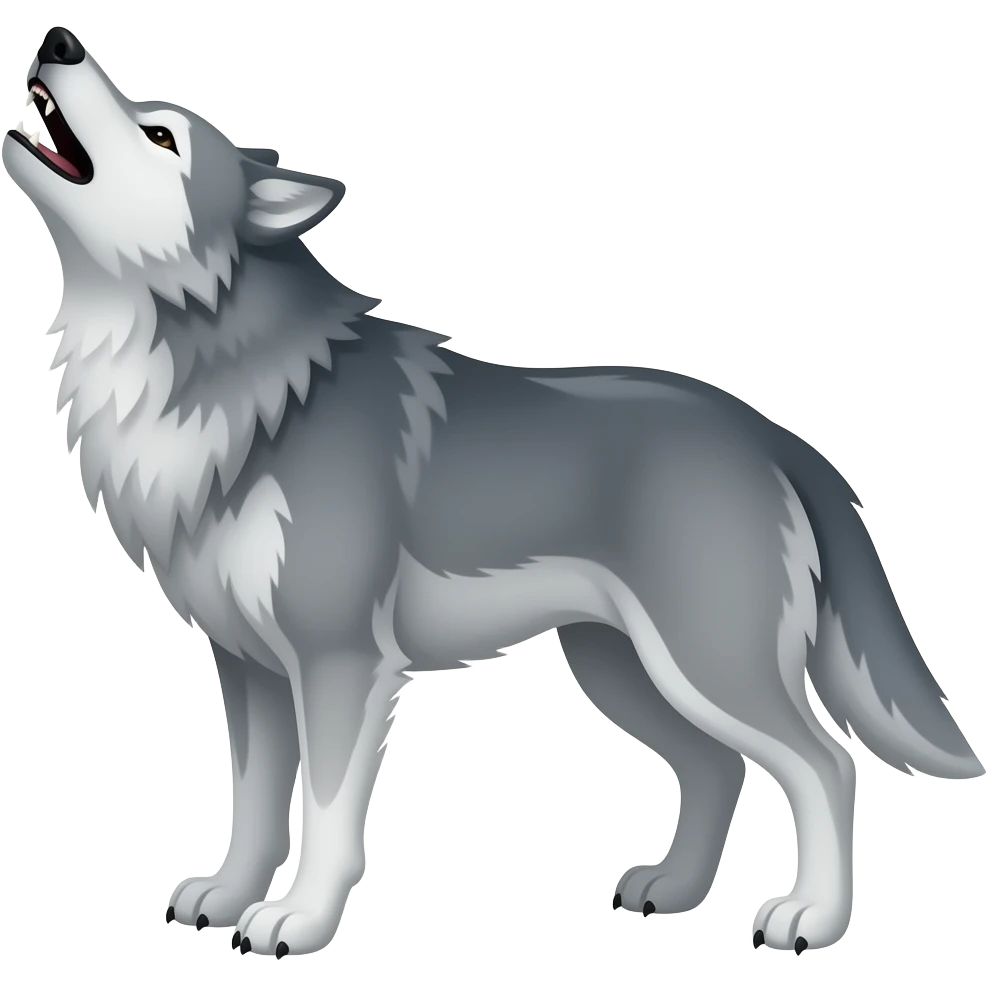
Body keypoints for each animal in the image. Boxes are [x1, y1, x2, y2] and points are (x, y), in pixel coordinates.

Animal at [5, 25, 982, 960]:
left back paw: (810, 916)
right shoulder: (246, 668)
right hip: (621, 670)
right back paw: (673, 889)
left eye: (160, 134)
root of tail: (775, 434)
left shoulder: (337, 663)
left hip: (704, 666)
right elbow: (250, 805)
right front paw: (227, 896)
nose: (57, 40)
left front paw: (300, 922)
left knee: (824, 765)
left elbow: (322, 816)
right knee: (716, 768)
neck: (241, 378)